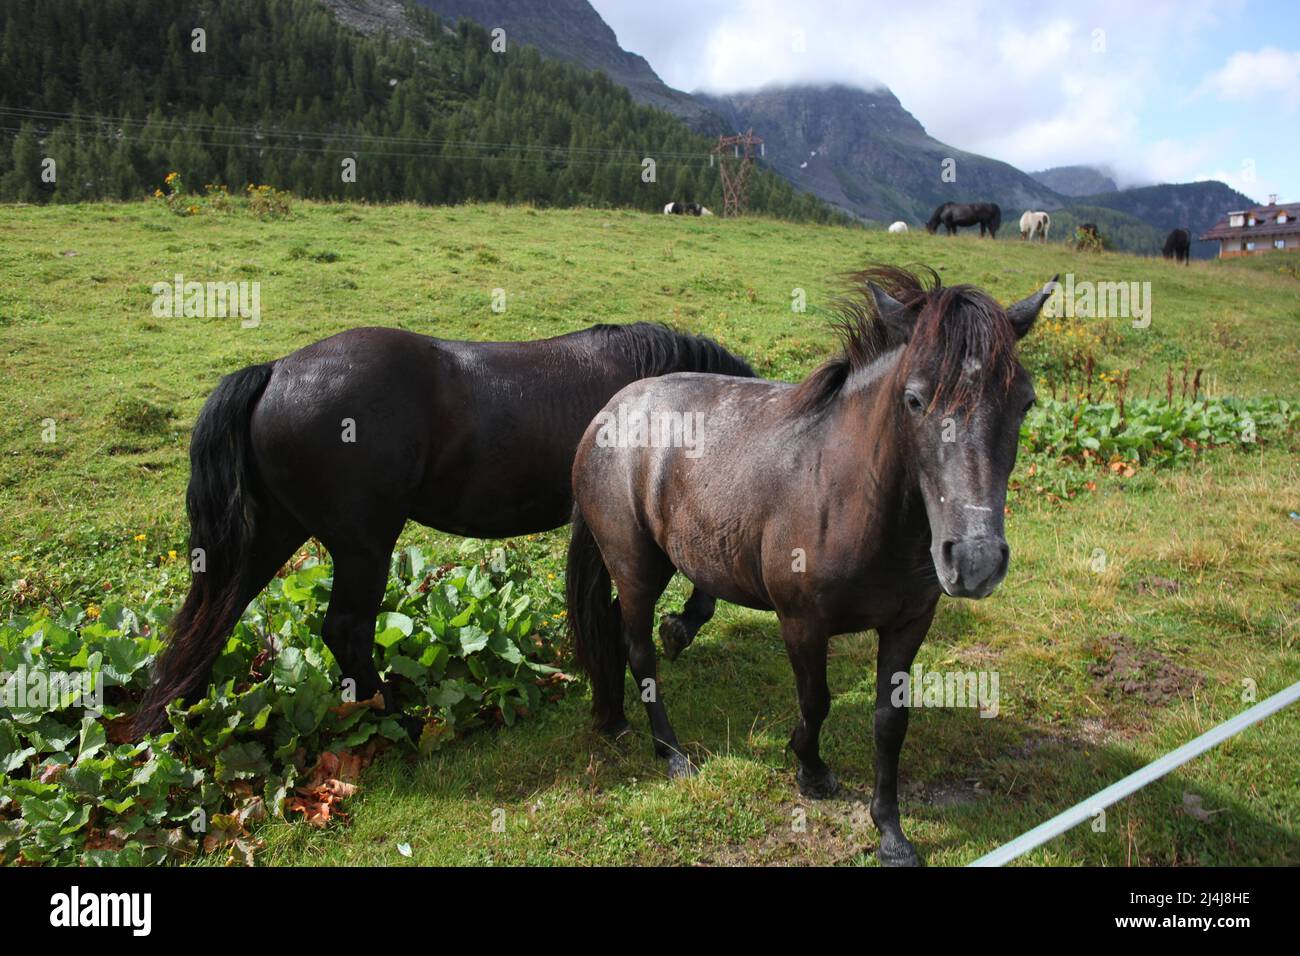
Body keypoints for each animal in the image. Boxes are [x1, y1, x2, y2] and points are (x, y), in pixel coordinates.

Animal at [131, 325, 754, 738]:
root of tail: (275, 370)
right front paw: (652, 659)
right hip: (362, 546)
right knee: (344, 631)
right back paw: (397, 720)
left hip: (276, 534)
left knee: (215, 612)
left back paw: (176, 712)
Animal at [569, 264, 1055, 868]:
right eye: (915, 400)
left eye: (1025, 402)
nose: (975, 560)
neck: (850, 496)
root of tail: (609, 412)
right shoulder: (802, 623)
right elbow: (816, 700)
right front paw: (810, 768)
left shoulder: (909, 624)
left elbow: (890, 722)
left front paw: (890, 832)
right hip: (636, 567)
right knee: (639, 650)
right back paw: (671, 751)